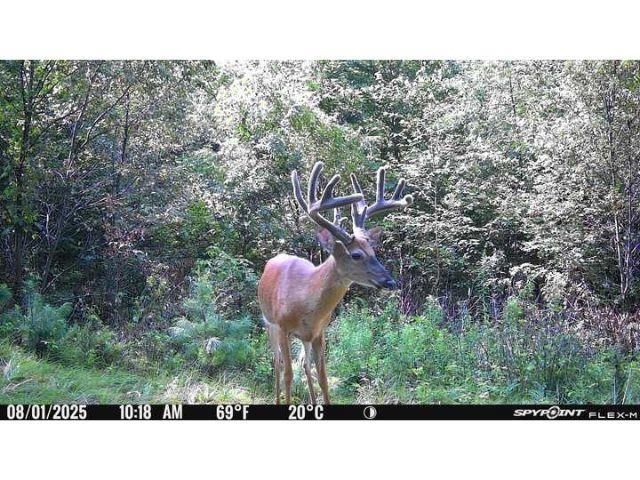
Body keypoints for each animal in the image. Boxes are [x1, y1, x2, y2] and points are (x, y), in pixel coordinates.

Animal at [257, 161, 413, 404]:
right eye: (356, 255)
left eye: (373, 251)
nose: (390, 281)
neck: (302, 298)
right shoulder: (282, 327)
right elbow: (288, 374)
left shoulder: (319, 332)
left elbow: (323, 377)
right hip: (268, 322)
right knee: (278, 363)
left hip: (304, 337)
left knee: (304, 364)